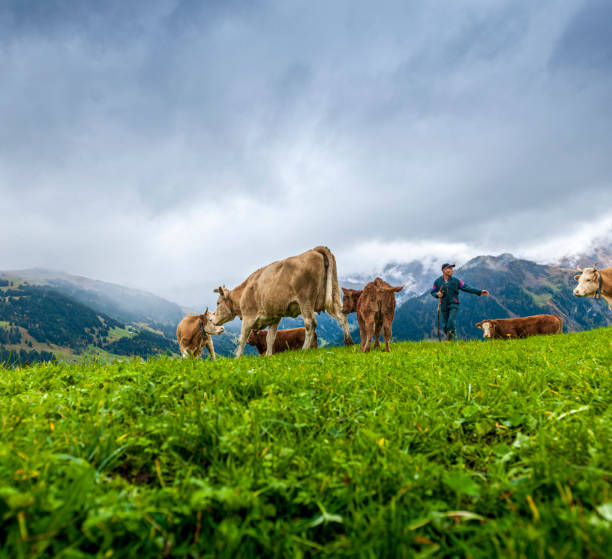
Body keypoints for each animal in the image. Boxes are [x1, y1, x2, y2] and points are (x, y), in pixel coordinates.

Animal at [213, 246, 354, 358]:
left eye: (218, 303)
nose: (213, 320)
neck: (244, 291)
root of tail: (314, 249)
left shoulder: (248, 317)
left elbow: (242, 339)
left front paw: (237, 358)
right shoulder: (274, 318)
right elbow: (270, 339)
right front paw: (268, 356)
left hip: (305, 299)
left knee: (310, 323)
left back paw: (304, 350)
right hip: (334, 293)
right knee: (342, 316)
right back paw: (349, 343)